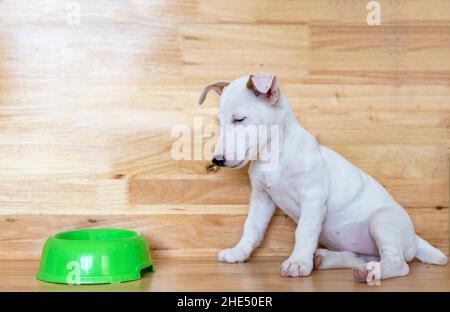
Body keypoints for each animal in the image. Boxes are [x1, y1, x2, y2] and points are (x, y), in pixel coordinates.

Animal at [200, 73, 446, 282]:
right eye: (220, 121)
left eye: (239, 119)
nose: (217, 160)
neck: (273, 155)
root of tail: (414, 237)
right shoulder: (262, 198)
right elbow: (252, 227)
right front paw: (239, 252)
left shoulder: (313, 198)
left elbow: (303, 231)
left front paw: (298, 262)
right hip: (364, 244)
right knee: (363, 256)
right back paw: (327, 260)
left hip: (383, 221)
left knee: (398, 264)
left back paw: (369, 273)